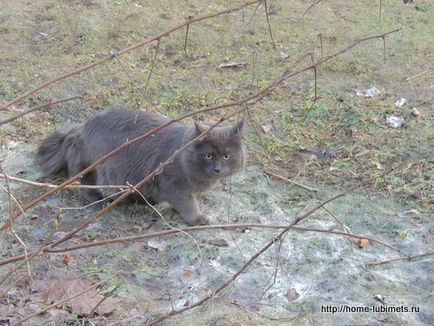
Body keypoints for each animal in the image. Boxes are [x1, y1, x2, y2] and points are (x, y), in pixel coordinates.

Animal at [35, 108, 246, 225]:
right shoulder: (173, 186)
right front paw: (197, 219)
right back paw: (98, 200)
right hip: (99, 167)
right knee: (85, 183)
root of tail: (80, 128)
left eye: (226, 156)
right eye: (209, 156)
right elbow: (188, 205)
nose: (217, 169)